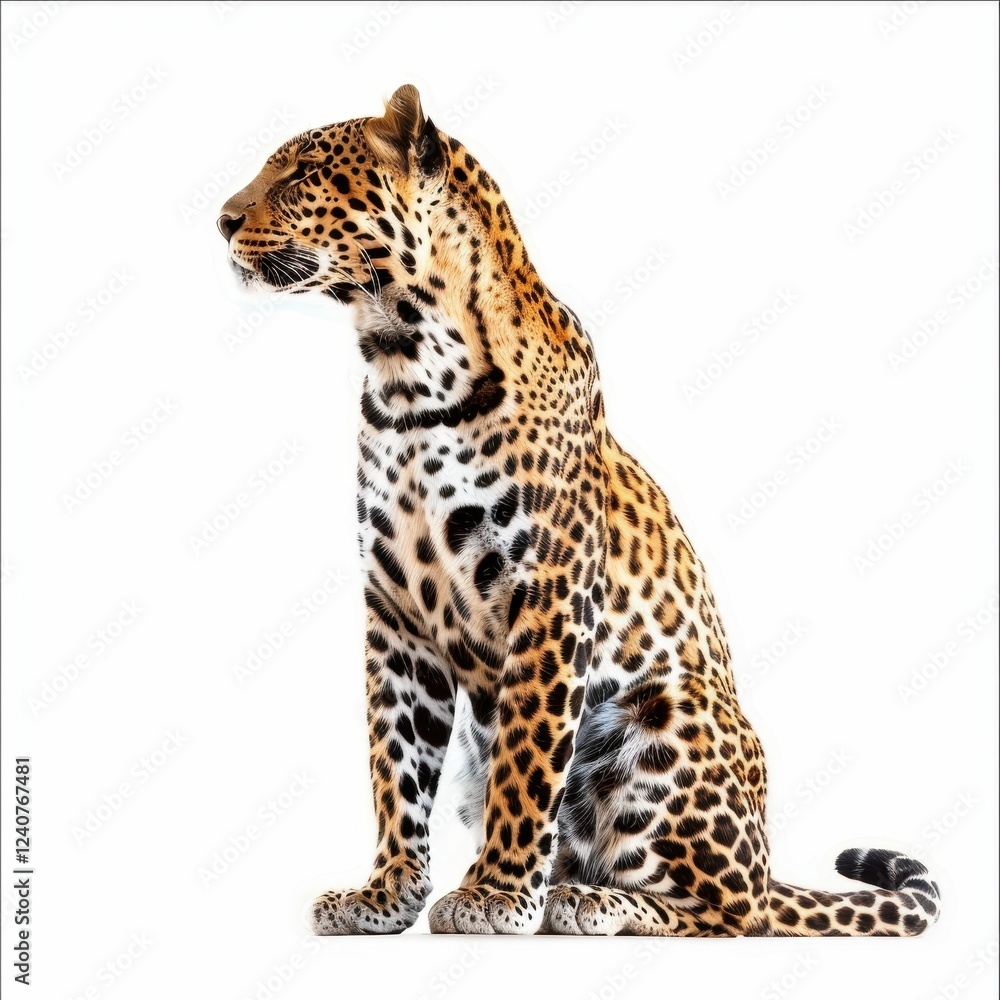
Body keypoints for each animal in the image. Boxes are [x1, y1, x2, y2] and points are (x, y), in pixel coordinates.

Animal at [218, 85, 940, 937]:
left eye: (302, 174)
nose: (221, 220)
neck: (404, 370)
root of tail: (769, 860)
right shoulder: (395, 610)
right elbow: (394, 766)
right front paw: (385, 895)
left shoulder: (549, 590)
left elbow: (528, 761)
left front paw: (496, 894)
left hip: (667, 716)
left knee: (733, 910)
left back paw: (588, 900)